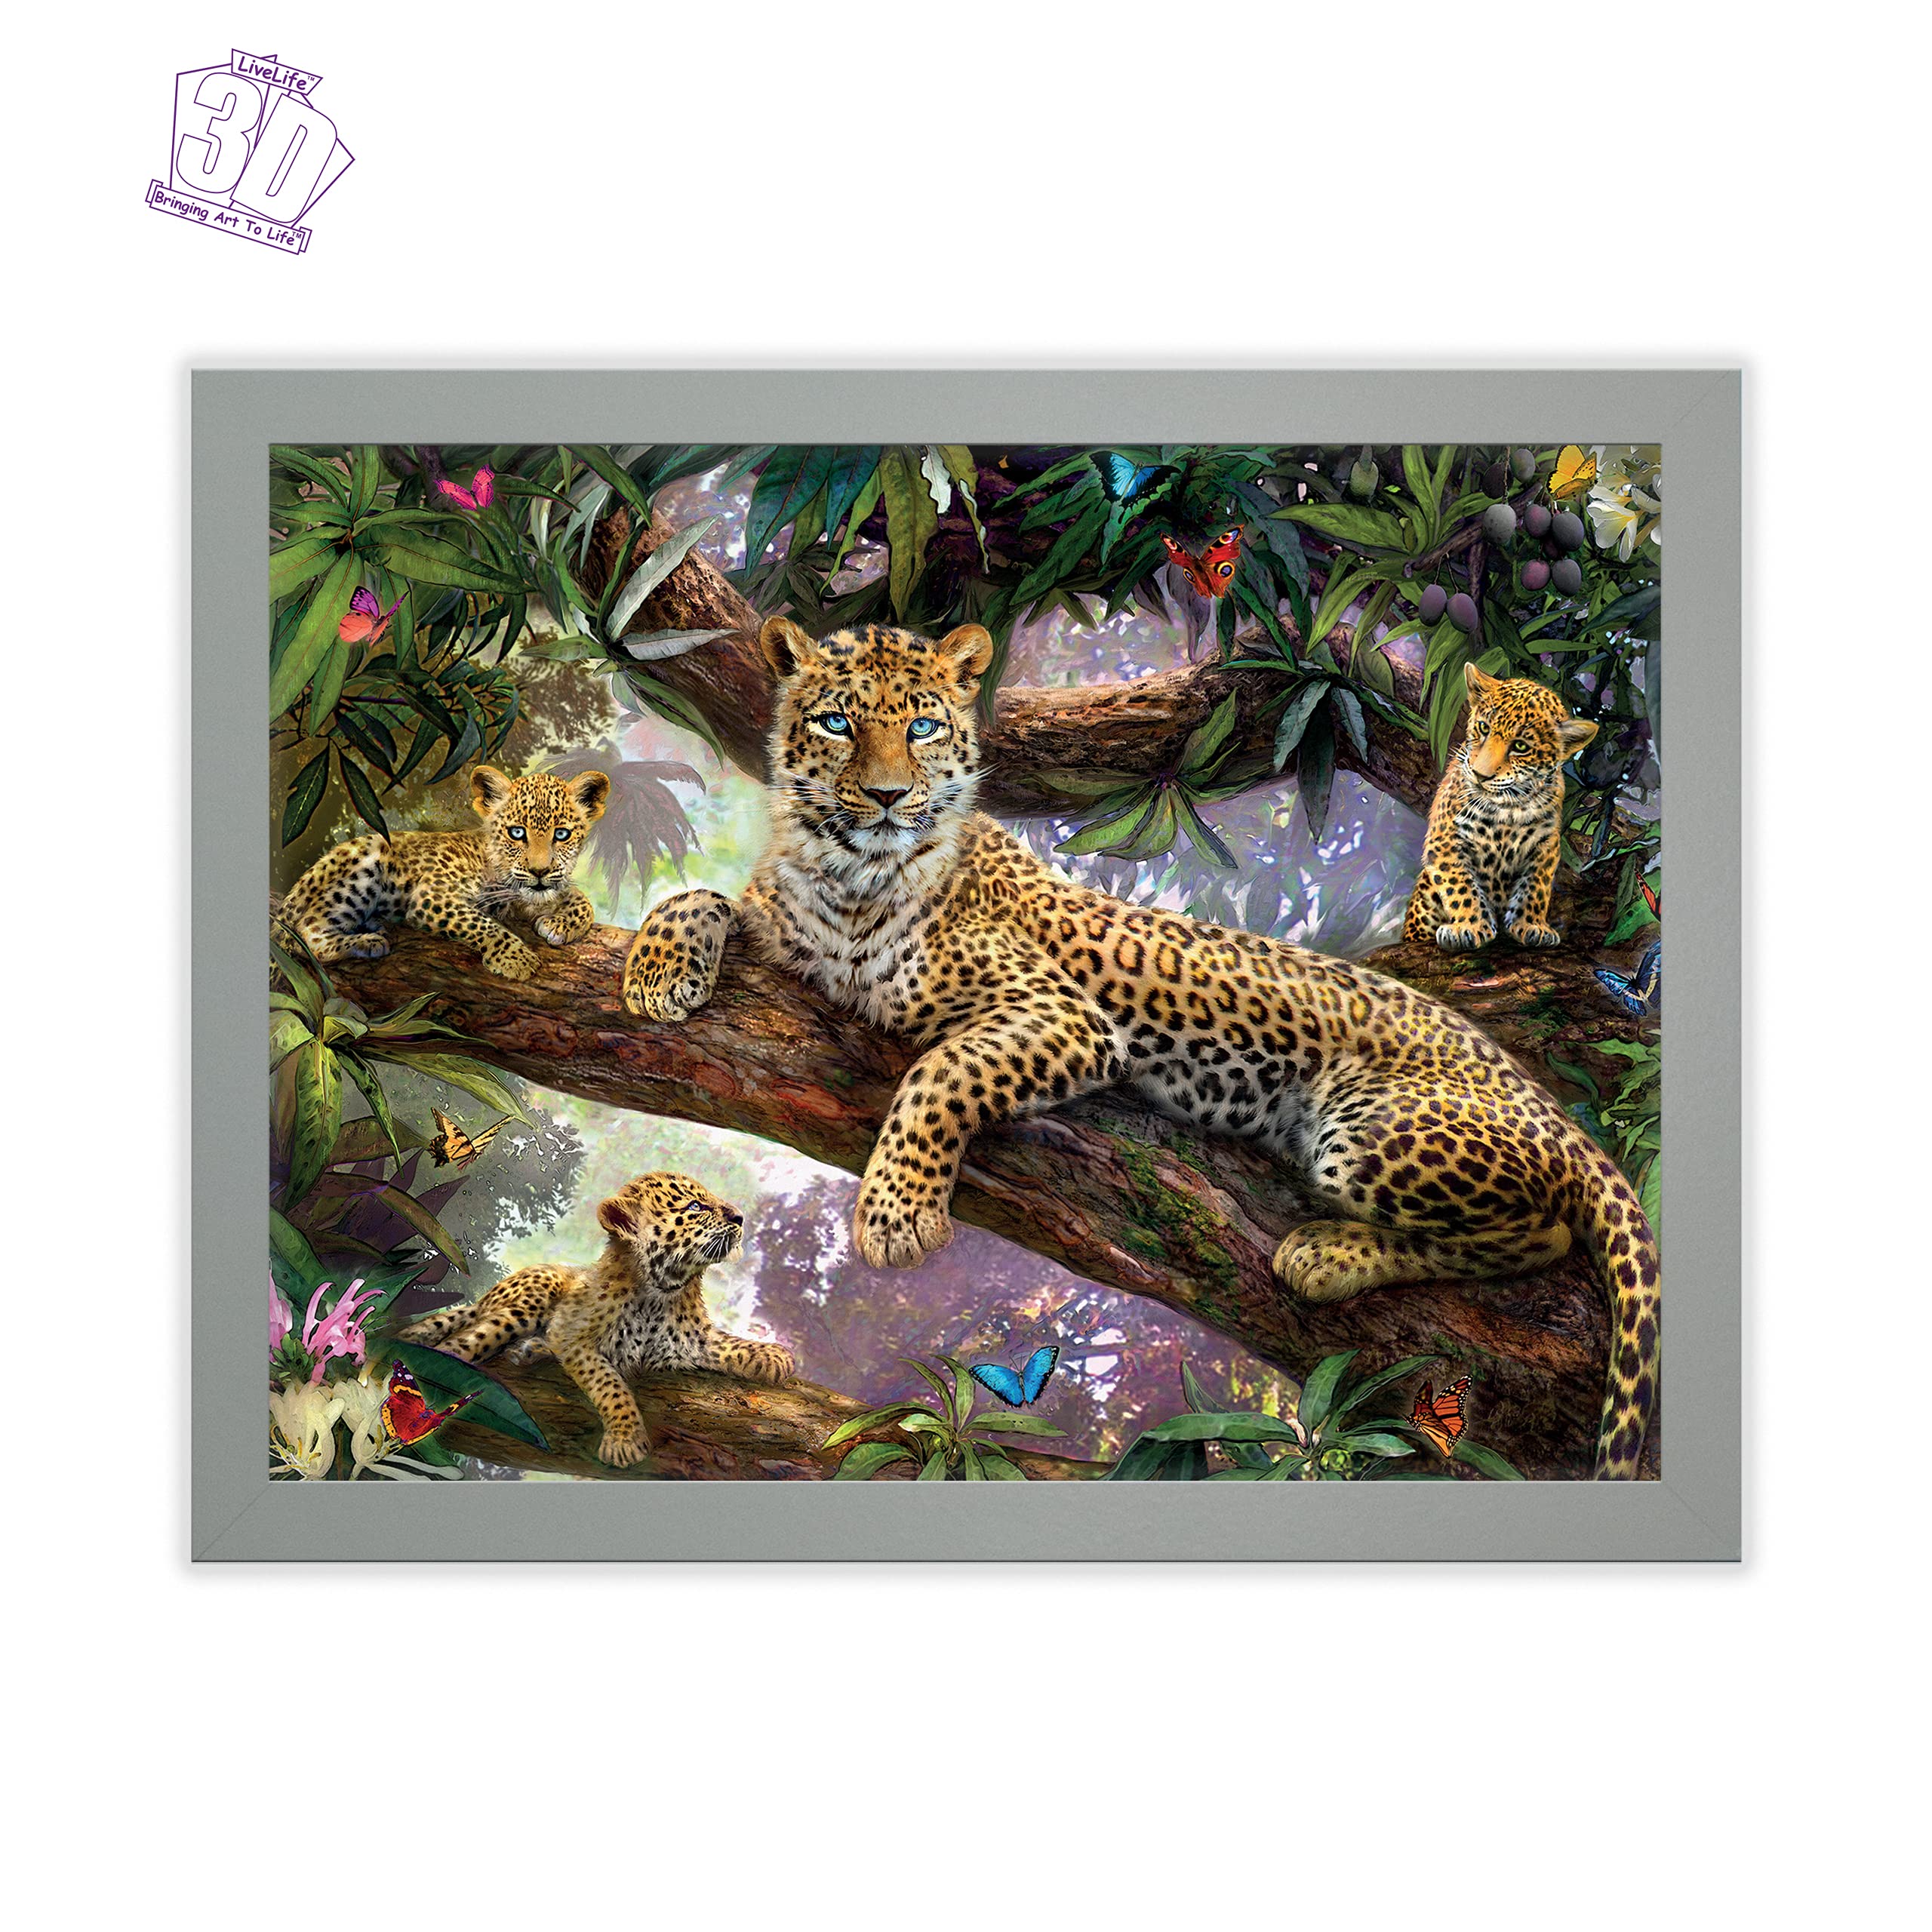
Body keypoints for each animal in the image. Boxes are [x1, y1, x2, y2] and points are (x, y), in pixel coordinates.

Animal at [280, 764, 610, 981]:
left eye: (562, 834)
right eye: (517, 833)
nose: (539, 870)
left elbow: (579, 899)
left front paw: (559, 924)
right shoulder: (434, 896)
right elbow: (482, 924)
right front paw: (516, 959)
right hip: (365, 865)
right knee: (309, 934)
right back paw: (366, 941)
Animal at [398, 1172, 794, 1468]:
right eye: (695, 1206)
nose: (740, 1217)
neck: (662, 1289)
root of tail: (486, 1296)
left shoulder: (691, 1341)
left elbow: (730, 1343)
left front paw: (775, 1355)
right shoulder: (576, 1338)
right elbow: (610, 1385)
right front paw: (625, 1439)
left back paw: (531, 1350)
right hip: (525, 1304)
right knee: (463, 1341)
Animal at [1403, 663, 1599, 953]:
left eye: (1520, 746)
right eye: (1483, 727)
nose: (1479, 775)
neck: (1508, 808)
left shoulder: (1546, 844)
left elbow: (1536, 886)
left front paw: (1532, 925)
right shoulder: (1446, 839)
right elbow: (1460, 886)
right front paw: (1469, 926)